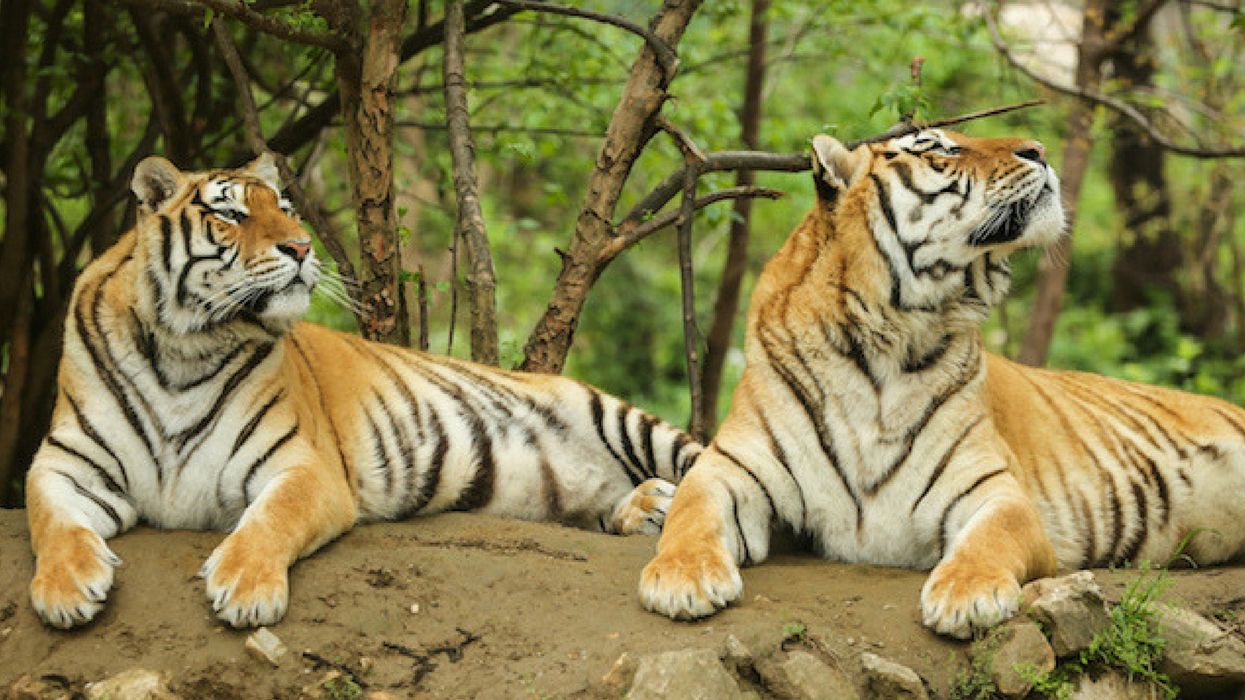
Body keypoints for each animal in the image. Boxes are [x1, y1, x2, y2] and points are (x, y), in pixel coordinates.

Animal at [26, 154, 702, 629]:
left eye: (289, 210)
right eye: (232, 215)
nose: (301, 247)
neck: (183, 351)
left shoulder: (305, 468)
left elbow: (268, 520)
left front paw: (245, 587)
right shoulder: (64, 464)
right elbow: (51, 521)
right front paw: (66, 589)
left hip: (614, 415)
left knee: (707, 468)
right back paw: (645, 505)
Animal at [638, 127, 1245, 639]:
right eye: (941, 149)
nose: (1040, 149)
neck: (884, 348)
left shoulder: (996, 489)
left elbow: (992, 538)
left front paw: (966, 596)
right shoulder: (733, 467)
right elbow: (690, 511)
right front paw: (681, 578)